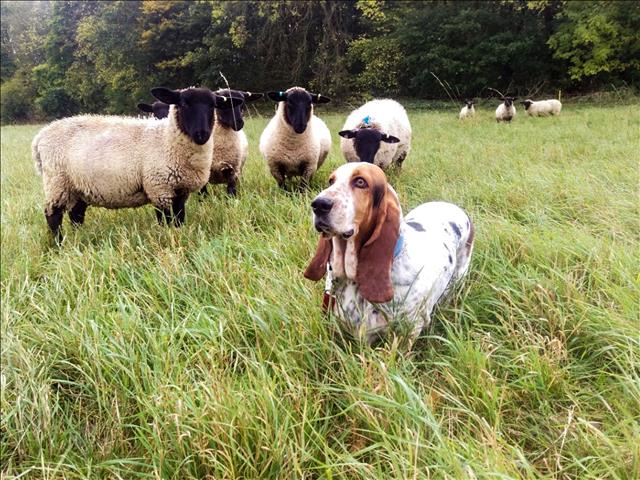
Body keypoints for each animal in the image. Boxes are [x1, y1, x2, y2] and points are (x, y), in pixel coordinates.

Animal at [32, 87, 241, 240]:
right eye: (183, 103)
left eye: (213, 105)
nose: (201, 134)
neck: (166, 140)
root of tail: (40, 137)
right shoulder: (159, 188)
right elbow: (165, 220)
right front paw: (168, 238)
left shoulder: (180, 191)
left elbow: (179, 219)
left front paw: (179, 234)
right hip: (57, 182)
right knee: (53, 215)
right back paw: (59, 244)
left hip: (78, 187)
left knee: (76, 214)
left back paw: (79, 237)